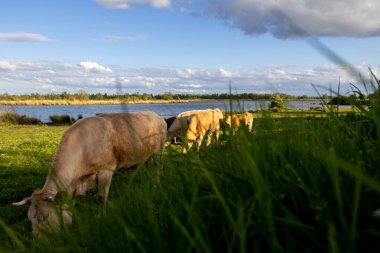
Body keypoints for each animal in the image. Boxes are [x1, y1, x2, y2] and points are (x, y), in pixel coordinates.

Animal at [12, 110, 167, 237]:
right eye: (30, 219)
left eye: (45, 217)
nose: (39, 244)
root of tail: (156, 115)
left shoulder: (106, 169)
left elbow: (100, 197)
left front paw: (100, 217)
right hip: (145, 157)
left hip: (158, 153)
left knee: (158, 173)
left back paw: (155, 190)